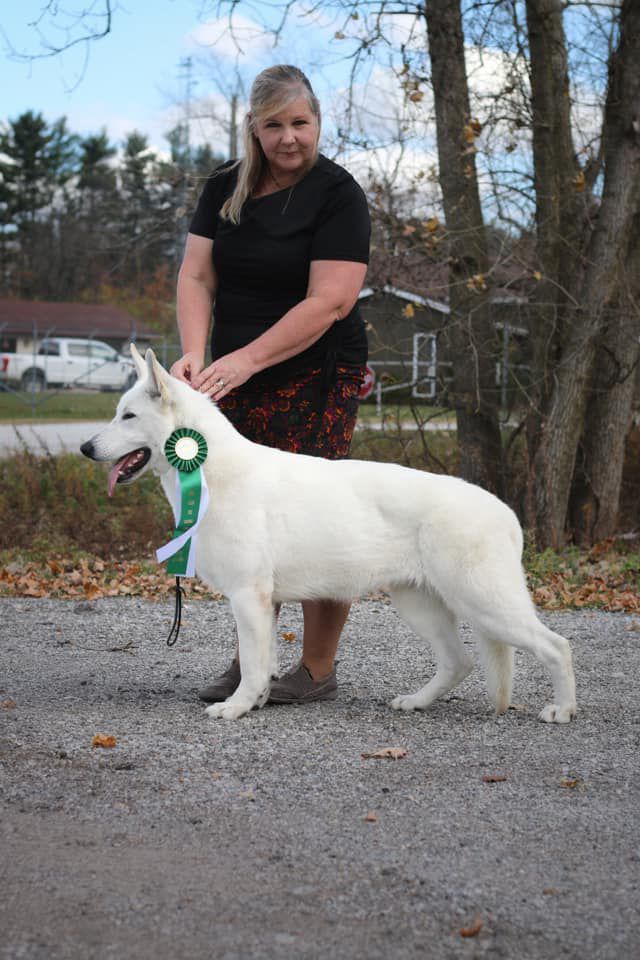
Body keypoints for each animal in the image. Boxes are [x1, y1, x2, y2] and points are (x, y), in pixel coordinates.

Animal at [79, 348, 576, 724]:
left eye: (128, 416)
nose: (85, 448)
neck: (211, 471)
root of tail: (504, 512)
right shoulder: (262, 604)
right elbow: (262, 663)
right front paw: (256, 702)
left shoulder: (248, 597)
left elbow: (254, 665)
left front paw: (237, 707)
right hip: (422, 606)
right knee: (461, 661)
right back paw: (416, 701)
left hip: (483, 602)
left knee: (557, 646)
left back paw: (563, 709)